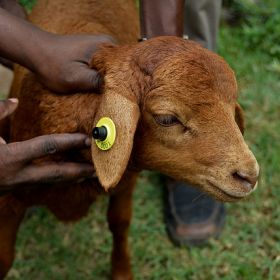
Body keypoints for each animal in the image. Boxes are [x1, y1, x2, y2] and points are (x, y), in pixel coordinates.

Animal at [0, 0, 260, 280]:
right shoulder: (10, 201)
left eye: (232, 108)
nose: (249, 176)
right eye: (167, 118)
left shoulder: (125, 185)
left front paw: (122, 270)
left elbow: (120, 223)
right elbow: (5, 257)